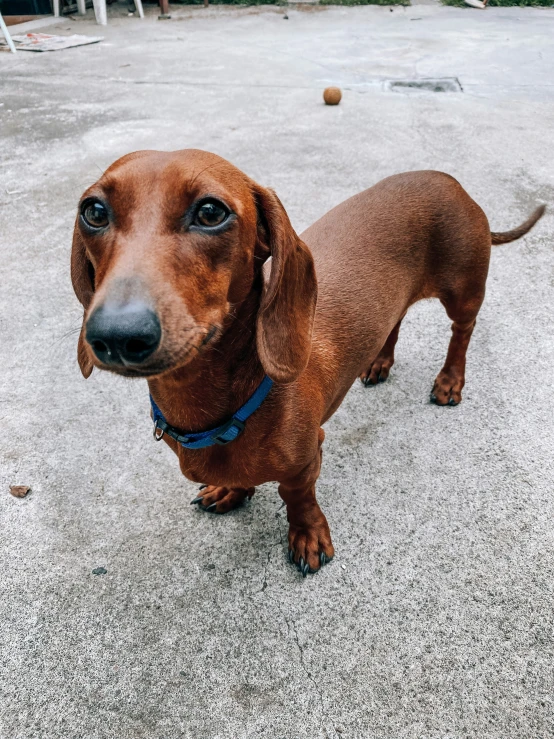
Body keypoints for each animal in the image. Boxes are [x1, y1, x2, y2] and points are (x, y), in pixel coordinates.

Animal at [70, 152, 544, 580]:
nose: (117, 334)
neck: (231, 406)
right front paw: (230, 489)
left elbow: (296, 495)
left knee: (462, 331)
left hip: (464, 290)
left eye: (210, 211)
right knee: (393, 322)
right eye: (93, 211)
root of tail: (450, 181)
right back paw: (379, 361)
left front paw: (308, 536)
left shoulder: (307, 455)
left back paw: (449, 381)